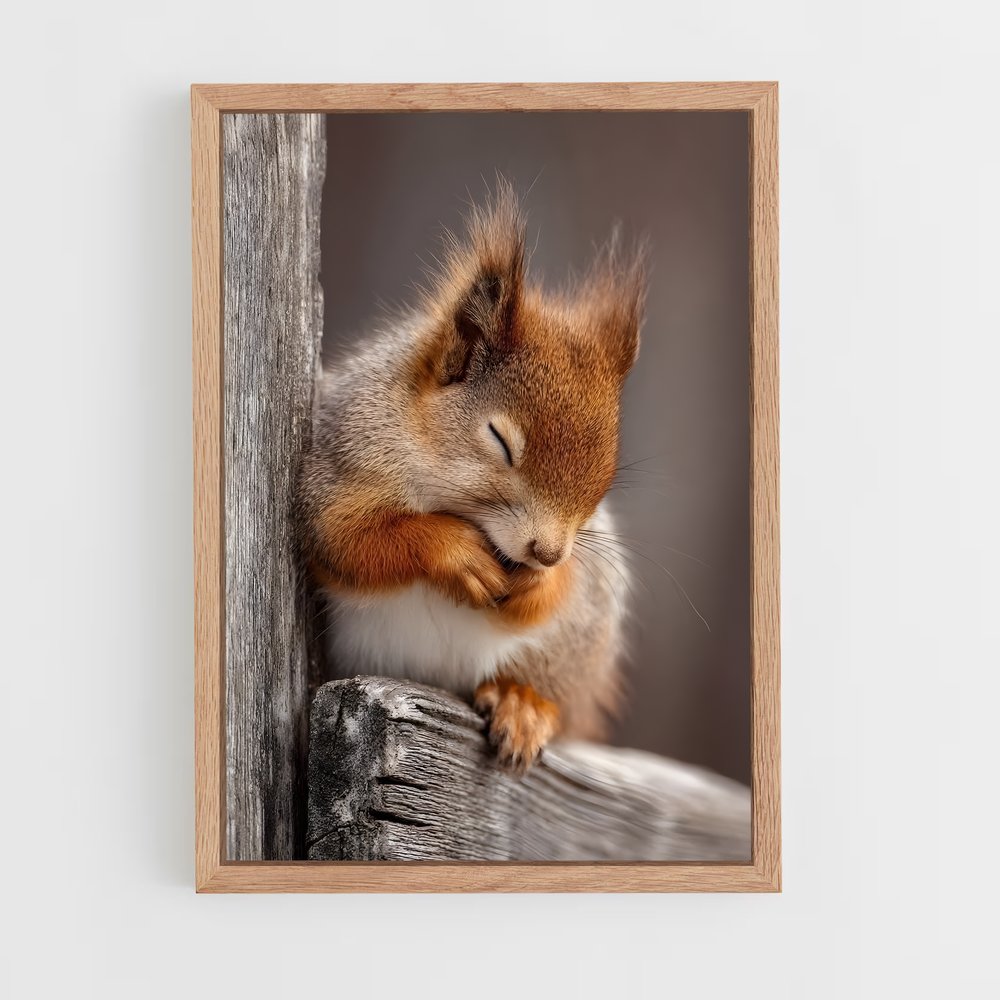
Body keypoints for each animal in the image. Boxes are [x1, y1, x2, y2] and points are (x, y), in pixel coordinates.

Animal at [296, 184, 647, 769]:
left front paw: (539, 581)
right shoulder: (338, 465)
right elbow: (350, 541)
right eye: (499, 440)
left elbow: (552, 594)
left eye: (607, 474)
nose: (547, 552)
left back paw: (521, 702)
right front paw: (456, 554)